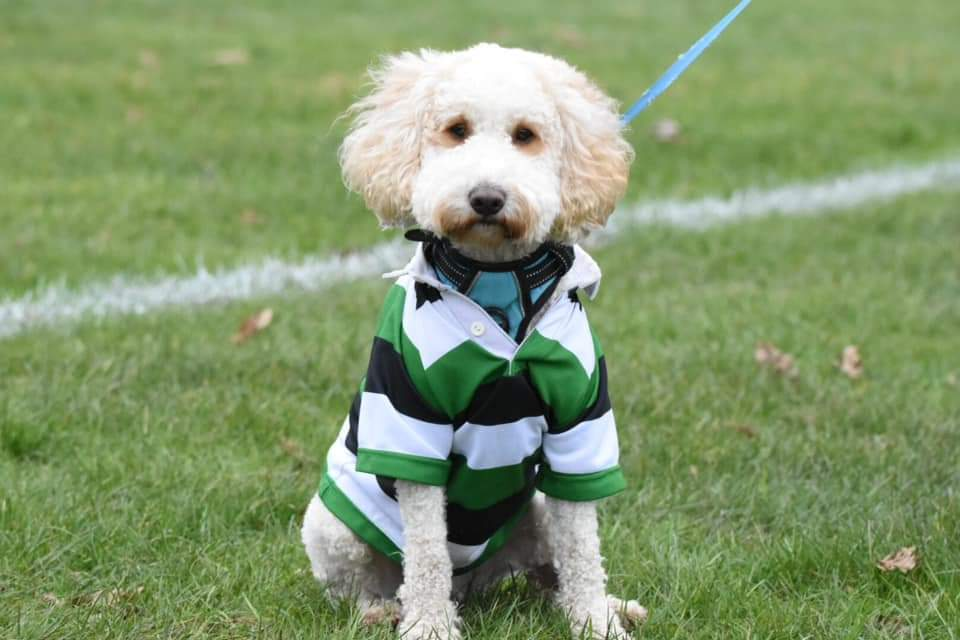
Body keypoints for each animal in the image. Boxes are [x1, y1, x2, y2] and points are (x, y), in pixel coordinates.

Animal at [302, 43, 644, 639]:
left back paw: (608, 603)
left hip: (534, 508)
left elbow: (582, 545)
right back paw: (382, 609)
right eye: (456, 130)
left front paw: (594, 622)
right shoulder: (411, 428)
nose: (486, 197)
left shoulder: (581, 429)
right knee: (361, 584)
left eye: (526, 135)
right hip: (332, 525)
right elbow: (426, 551)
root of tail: (474, 583)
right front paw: (428, 625)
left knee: (551, 569)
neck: (494, 280)